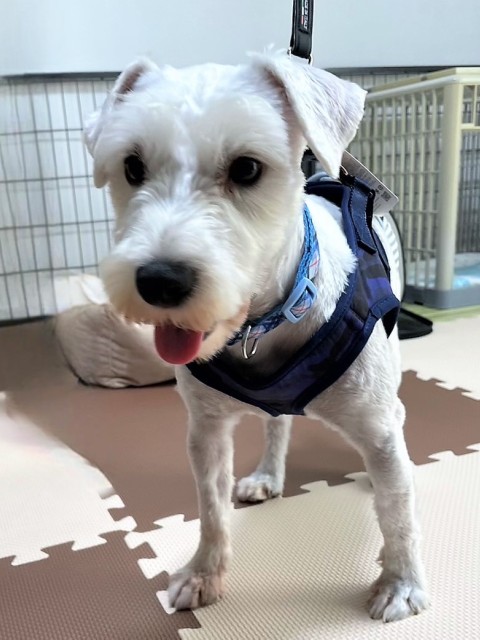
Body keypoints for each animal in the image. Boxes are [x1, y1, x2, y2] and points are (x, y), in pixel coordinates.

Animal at [84, 51, 429, 623]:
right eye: (132, 167)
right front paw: (203, 575)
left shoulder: (378, 429)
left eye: (246, 168)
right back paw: (268, 474)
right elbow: (209, 508)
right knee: (277, 426)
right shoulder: (205, 431)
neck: (269, 320)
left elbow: (397, 510)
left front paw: (401, 583)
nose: (159, 280)